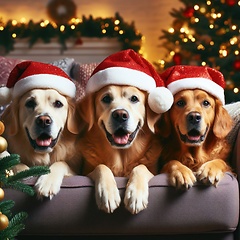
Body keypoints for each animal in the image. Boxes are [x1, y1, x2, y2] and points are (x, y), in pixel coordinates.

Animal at [0, 61, 80, 199]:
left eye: (58, 103)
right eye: (30, 103)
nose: (44, 121)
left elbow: (60, 163)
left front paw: (47, 182)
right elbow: (12, 159)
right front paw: (23, 171)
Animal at [76, 49, 172, 214]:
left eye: (134, 98)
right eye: (106, 98)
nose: (120, 115)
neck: (121, 159)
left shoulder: (153, 171)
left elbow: (141, 167)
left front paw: (136, 195)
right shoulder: (86, 171)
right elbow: (101, 167)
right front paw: (107, 194)